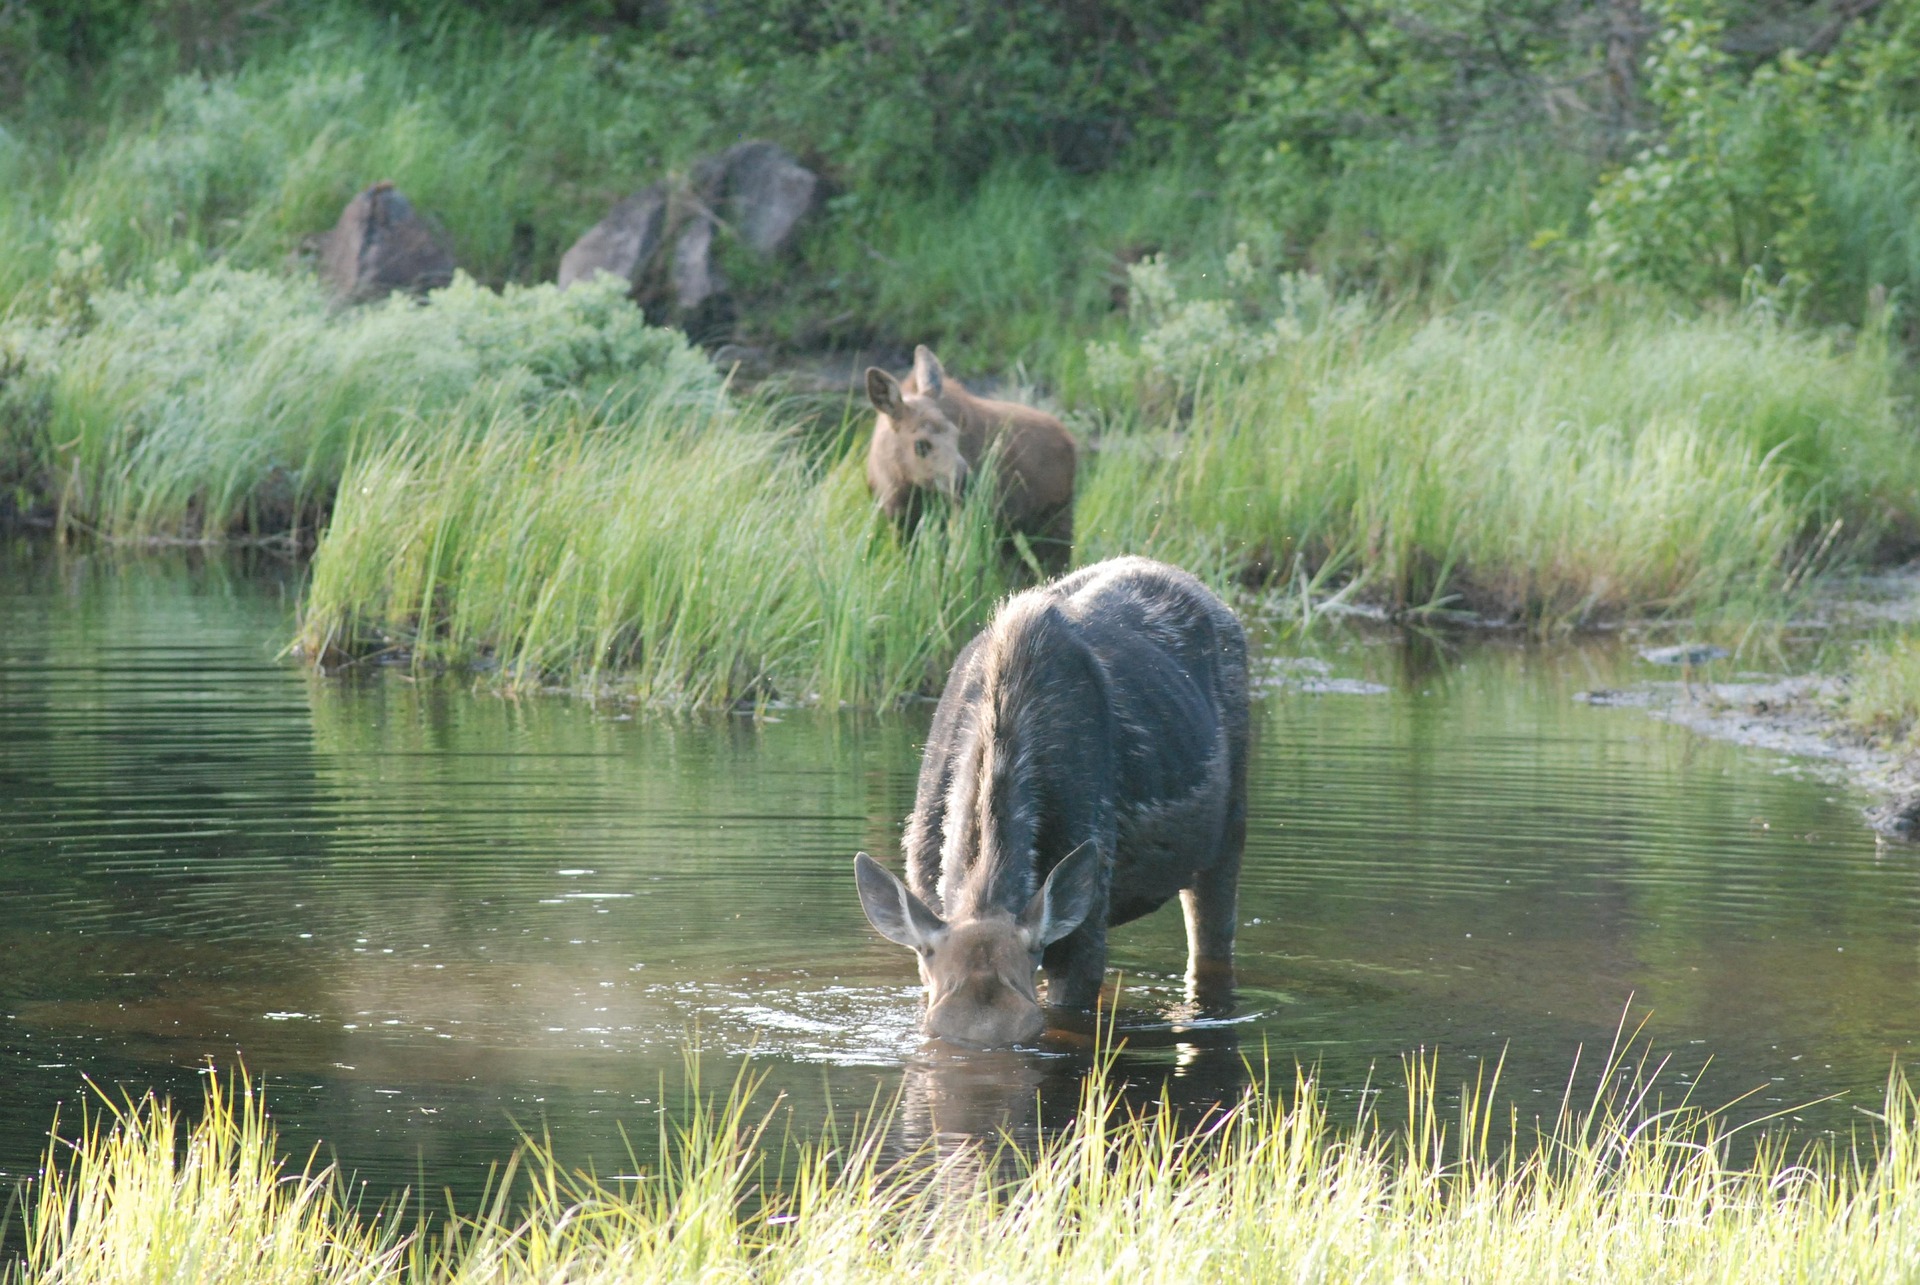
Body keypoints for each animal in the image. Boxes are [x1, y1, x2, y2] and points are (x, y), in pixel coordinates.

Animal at [864, 345, 1078, 575]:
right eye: (920, 444)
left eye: (956, 434)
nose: (965, 481)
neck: (901, 484)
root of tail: (1070, 441)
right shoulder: (901, 521)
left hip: (1052, 518)